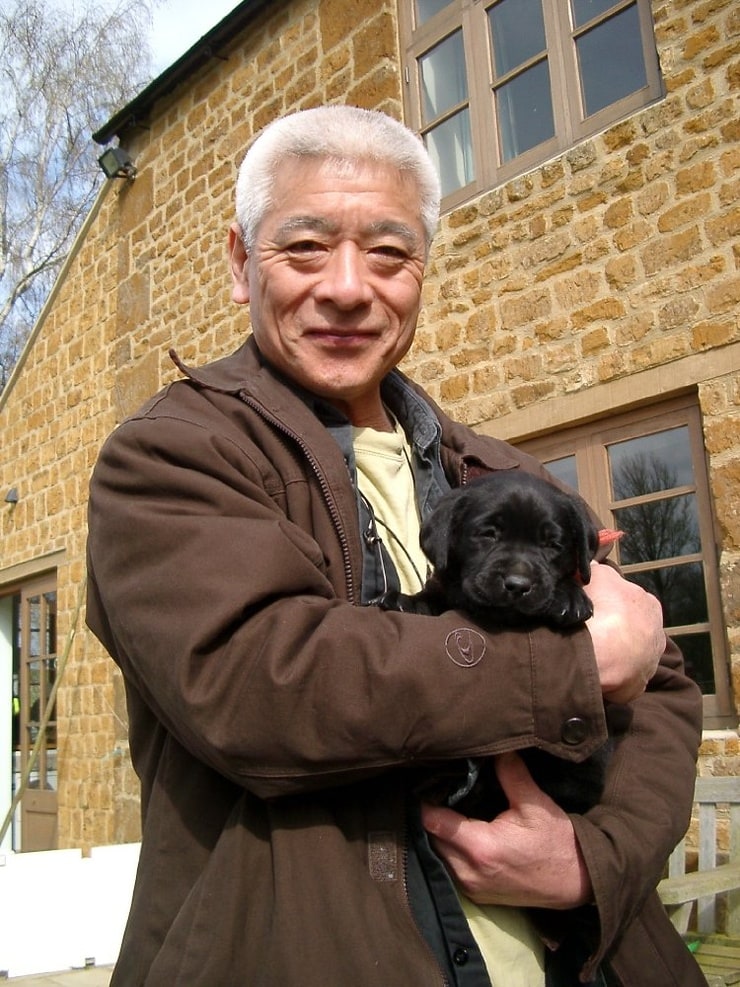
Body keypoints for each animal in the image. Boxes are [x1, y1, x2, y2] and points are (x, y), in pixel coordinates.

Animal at [376, 470, 619, 816]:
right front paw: (404, 602)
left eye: (552, 544)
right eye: (488, 534)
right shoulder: (443, 589)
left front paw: (569, 597)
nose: (517, 585)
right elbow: (430, 598)